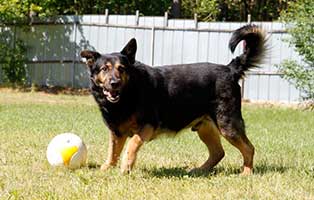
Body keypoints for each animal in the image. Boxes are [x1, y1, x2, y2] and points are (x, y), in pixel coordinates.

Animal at [81, 24, 268, 175]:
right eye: (104, 69)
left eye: (122, 69)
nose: (115, 83)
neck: (129, 93)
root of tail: (230, 69)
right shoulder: (116, 133)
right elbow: (113, 152)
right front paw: (106, 168)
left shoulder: (147, 126)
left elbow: (131, 145)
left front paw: (126, 166)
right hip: (205, 127)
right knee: (218, 152)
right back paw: (199, 170)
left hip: (227, 125)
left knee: (249, 148)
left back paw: (246, 172)